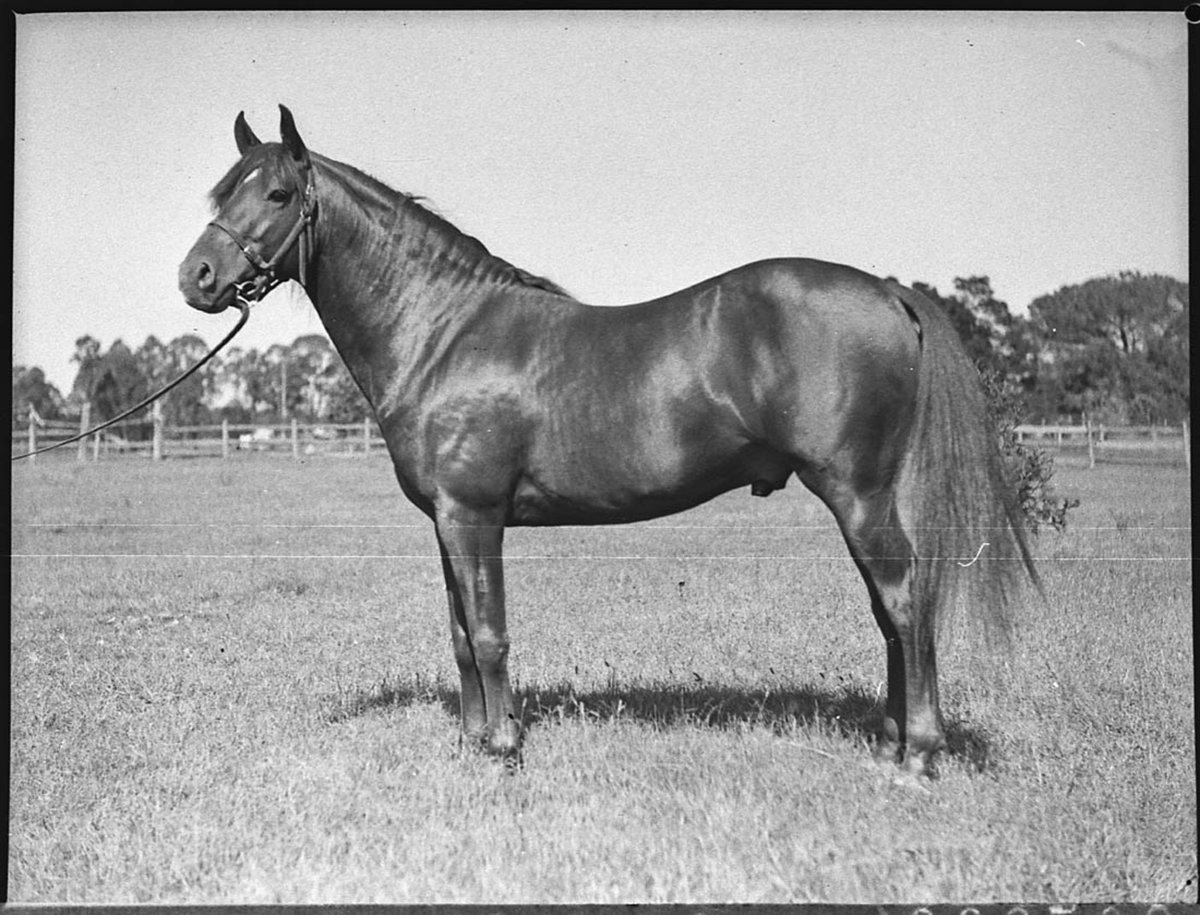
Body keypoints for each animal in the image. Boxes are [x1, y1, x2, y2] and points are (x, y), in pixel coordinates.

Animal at [179, 105, 1038, 778]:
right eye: (223, 189)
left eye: (278, 193)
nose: (197, 277)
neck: (444, 331)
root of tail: (888, 290)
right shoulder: (445, 522)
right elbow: (459, 636)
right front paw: (469, 744)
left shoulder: (473, 514)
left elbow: (488, 635)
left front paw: (503, 749)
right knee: (889, 608)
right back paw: (892, 740)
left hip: (857, 492)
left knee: (904, 598)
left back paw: (918, 753)